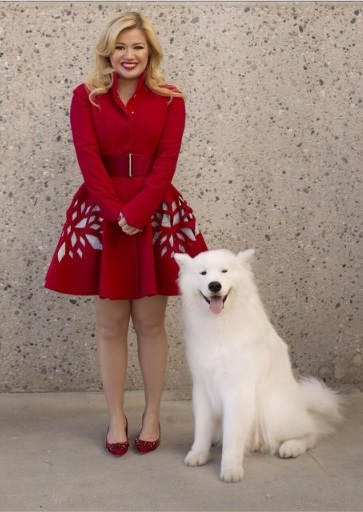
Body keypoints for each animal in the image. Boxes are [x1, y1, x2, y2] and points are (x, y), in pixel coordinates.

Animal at [175, 250, 342, 482]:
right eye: (203, 273)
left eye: (224, 271)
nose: (214, 285)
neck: (220, 323)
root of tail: (303, 404)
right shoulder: (202, 388)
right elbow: (202, 429)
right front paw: (198, 454)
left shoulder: (237, 390)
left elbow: (232, 437)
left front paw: (231, 468)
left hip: (274, 411)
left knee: (311, 432)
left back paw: (291, 447)